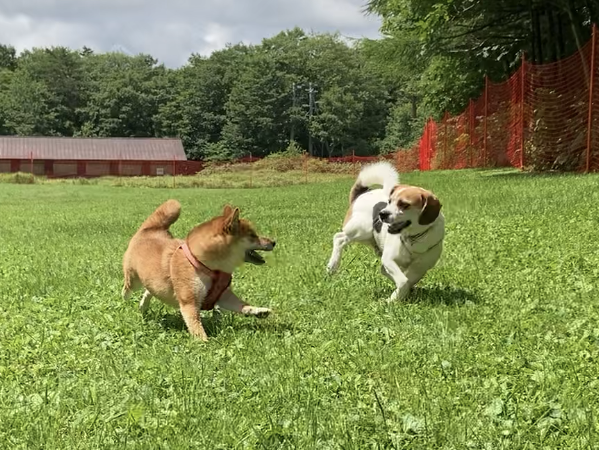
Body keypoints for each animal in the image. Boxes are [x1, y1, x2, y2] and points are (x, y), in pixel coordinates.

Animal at [122, 200, 276, 342]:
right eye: (252, 235)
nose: (274, 242)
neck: (207, 265)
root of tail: (150, 229)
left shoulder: (223, 296)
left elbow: (242, 304)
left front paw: (258, 311)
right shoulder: (190, 303)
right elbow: (196, 326)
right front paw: (206, 343)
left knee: (149, 290)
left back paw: (143, 306)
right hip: (134, 279)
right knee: (128, 286)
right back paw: (125, 297)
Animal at [328, 162, 446, 302]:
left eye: (404, 204)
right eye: (389, 201)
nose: (382, 214)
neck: (412, 238)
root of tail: (362, 194)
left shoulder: (420, 267)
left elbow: (407, 279)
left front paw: (399, 294)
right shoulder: (389, 259)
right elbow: (403, 281)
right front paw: (392, 300)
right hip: (361, 229)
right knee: (339, 238)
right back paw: (332, 265)